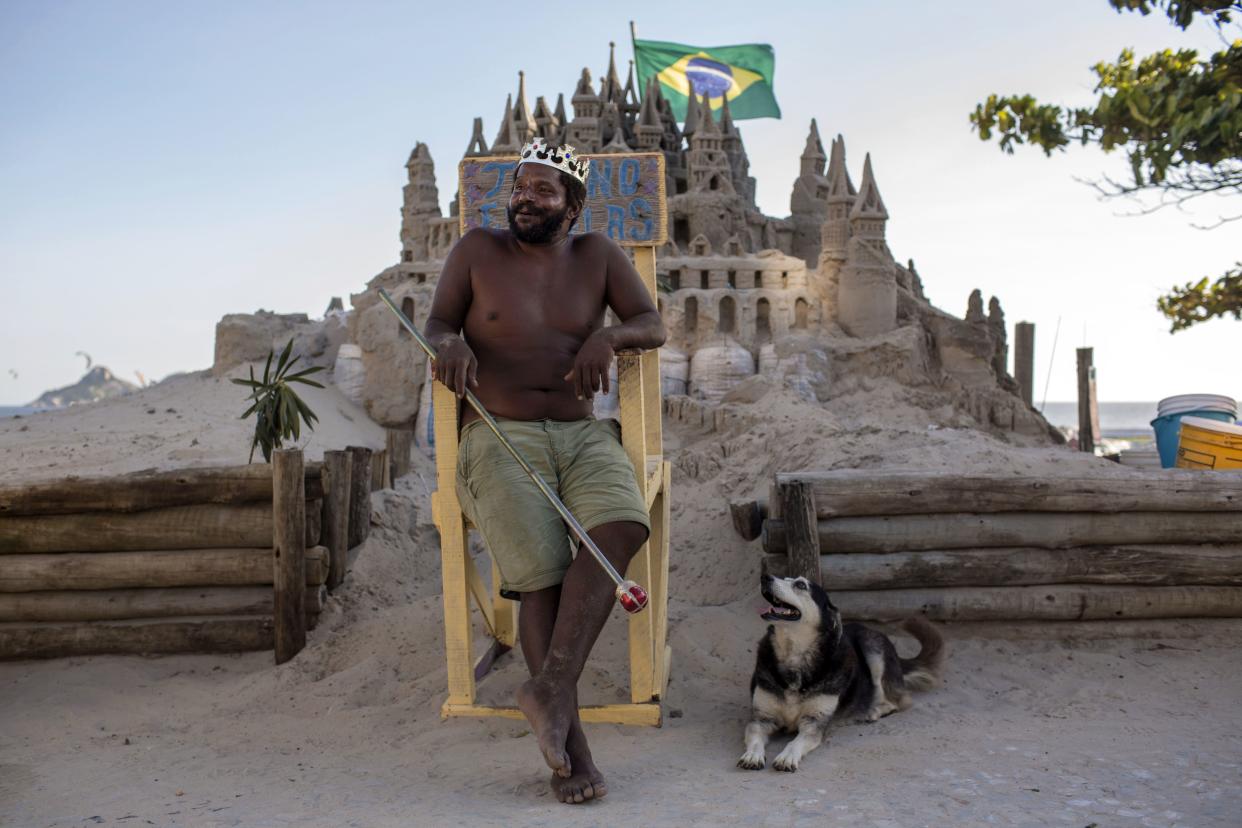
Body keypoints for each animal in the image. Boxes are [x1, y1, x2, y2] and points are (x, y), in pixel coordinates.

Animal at [735, 573, 938, 774]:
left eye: (800, 585)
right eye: (784, 578)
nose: (765, 577)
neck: (795, 655)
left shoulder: (814, 723)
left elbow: (795, 743)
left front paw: (787, 757)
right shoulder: (762, 718)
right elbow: (755, 738)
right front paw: (752, 755)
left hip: (873, 648)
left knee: (896, 700)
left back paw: (872, 710)